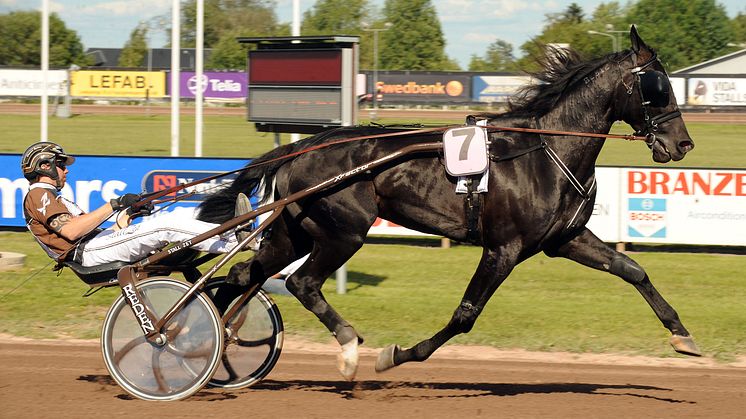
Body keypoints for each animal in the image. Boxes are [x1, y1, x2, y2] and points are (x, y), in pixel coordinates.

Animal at [196, 26, 696, 380]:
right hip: (344, 232)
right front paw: (395, 355)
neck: (547, 150)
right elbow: (465, 315)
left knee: (244, 274)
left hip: (294, 231)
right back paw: (347, 347)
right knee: (302, 284)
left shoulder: (565, 239)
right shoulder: (504, 248)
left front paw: (682, 335)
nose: (683, 143)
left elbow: (632, 269)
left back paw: (204, 341)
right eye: (657, 86)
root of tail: (305, 146)